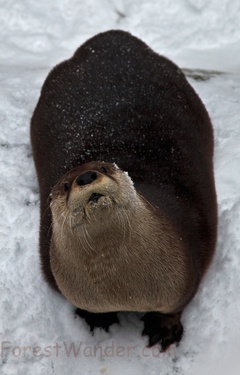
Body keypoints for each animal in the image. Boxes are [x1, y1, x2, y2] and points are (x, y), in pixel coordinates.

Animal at [30, 30, 218, 352]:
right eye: (65, 185)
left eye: (105, 167)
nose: (86, 175)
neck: (122, 291)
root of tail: (113, 37)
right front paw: (96, 319)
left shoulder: (187, 270)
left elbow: (177, 305)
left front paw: (164, 328)